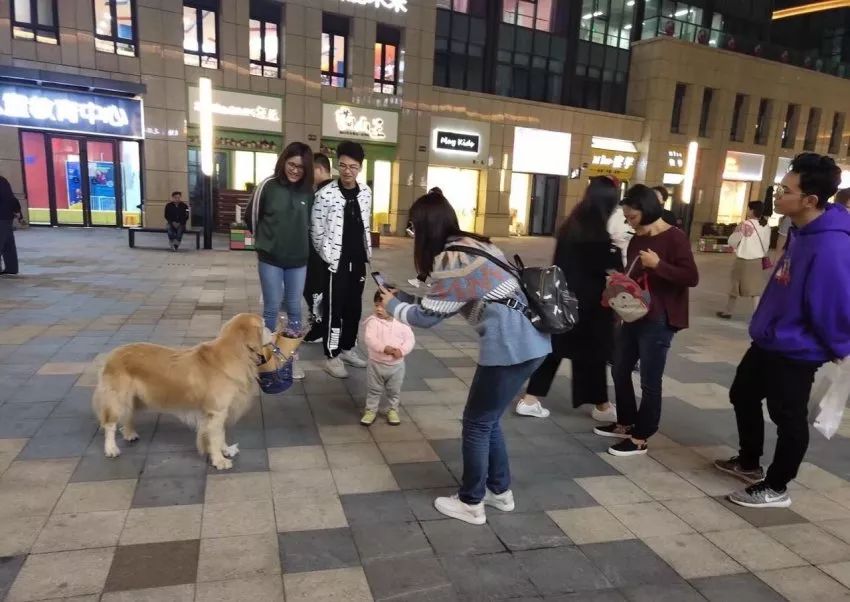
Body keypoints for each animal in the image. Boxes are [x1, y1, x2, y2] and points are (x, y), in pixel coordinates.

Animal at [92, 312, 272, 472]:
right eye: (263, 325)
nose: (273, 332)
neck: (235, 353)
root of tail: (112, 354)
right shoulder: (216, 411)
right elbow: (214, 436)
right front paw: (219, 460)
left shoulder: (219, 412)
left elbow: (220, 433)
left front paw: (225, 450)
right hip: (117, 398)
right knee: (110, 424)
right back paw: (111, 448)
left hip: (135, 397)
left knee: (128, 415)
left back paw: (129, 433)